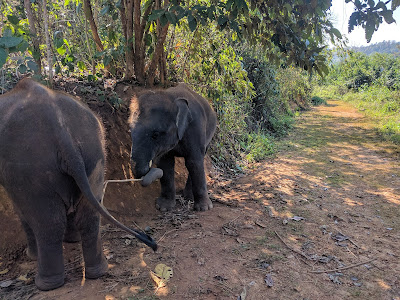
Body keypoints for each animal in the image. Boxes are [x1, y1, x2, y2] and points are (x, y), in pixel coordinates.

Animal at [0, 78, 156, 292]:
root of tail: (61, 131)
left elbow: (22, 210)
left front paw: (31, 255)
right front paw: (71, 240)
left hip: (31, 167)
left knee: (48, 222)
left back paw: (47, 284)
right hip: (94, 152)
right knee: (90, 214)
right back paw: (97, 272)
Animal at [130, 82, 217, 211]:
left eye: (155, 135)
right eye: (130, 131)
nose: (147, 171)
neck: (171, 99)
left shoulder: (195, 128)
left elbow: (193, 162)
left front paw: (204, 208)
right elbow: (165, 163)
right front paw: (163, 207)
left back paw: (189, 197)